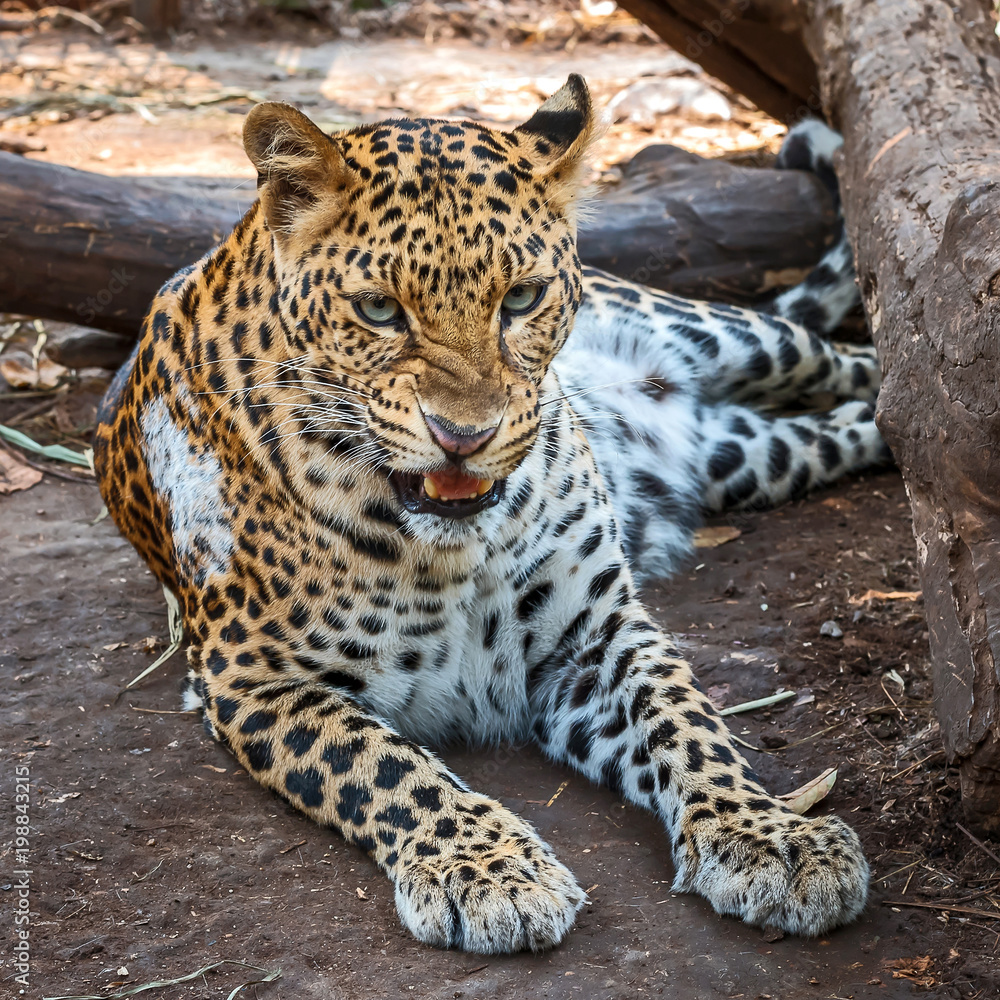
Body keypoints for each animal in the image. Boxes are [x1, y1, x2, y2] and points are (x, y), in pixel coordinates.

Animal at [94, 75, 881, 954]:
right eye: (379, 310)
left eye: (523, 298)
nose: (464, 437)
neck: (450, 550)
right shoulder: (252, 677)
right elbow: (387, 766)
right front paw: (491, 872)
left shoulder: (594, 629)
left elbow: (687, 721)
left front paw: (770, 834)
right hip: (749, 458)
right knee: (843, 424)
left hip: (740, 338)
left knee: (856, 362)